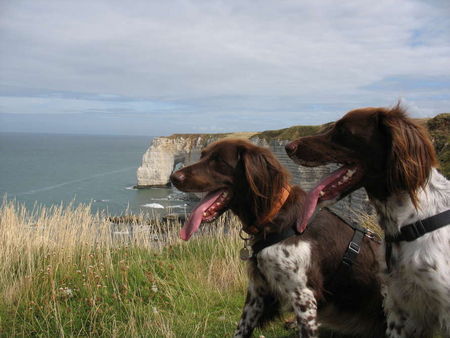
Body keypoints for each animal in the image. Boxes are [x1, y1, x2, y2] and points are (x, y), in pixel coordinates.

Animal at [171, 138, 384, 338]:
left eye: (218, 161)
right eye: (202, 155)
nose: (173, 177)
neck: (274, 216)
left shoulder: (304, 297)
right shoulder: (257, 291)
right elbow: (241, 329)